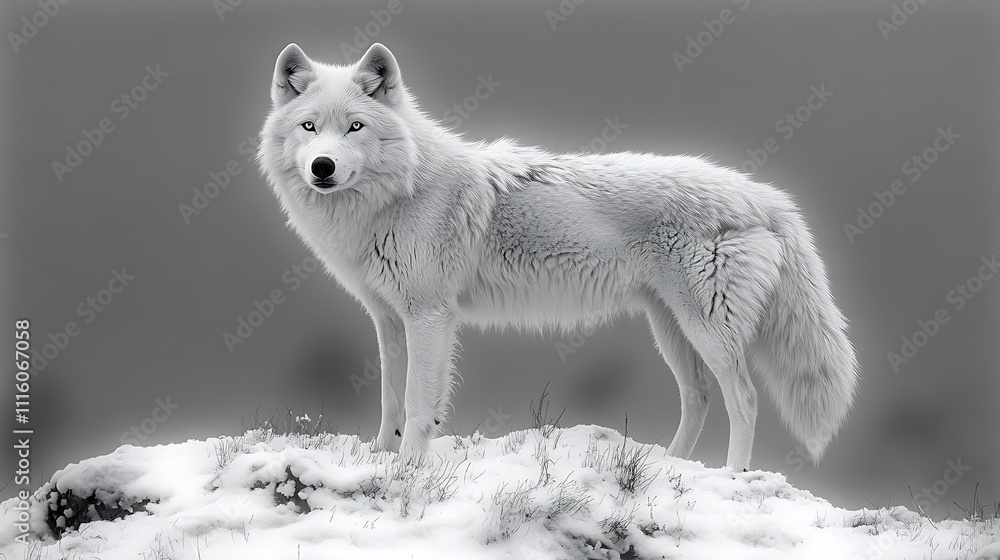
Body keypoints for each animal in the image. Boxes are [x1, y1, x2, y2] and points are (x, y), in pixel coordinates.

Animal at [258, 43, 859, 471]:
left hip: (705, 326)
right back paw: (671, 466)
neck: (398, 194)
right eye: (309, 127)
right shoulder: (388, 318)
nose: (323, 167)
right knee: (700, 398)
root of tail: (764, 195)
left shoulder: (429, 317)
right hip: (670, 329)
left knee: (745, 399)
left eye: (354, 126)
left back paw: (731, 478)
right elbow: (389, 400)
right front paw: (380, 459)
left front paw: (405, 471)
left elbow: (417, 404)